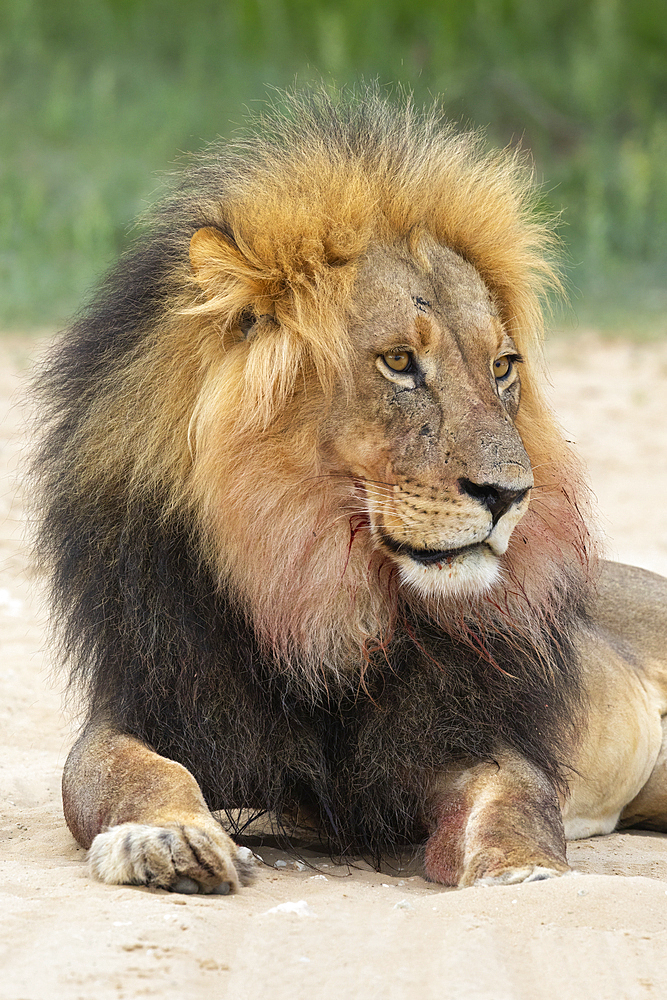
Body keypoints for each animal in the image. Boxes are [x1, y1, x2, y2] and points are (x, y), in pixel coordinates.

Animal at [34, 90, 667, 896]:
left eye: (501, 367)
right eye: (398, 362)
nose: (510, 495)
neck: (325, 600)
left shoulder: (475, 736)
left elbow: (515, 806)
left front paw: (524, 874)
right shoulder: (144, 705)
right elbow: (132, 773)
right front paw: (167, 839)